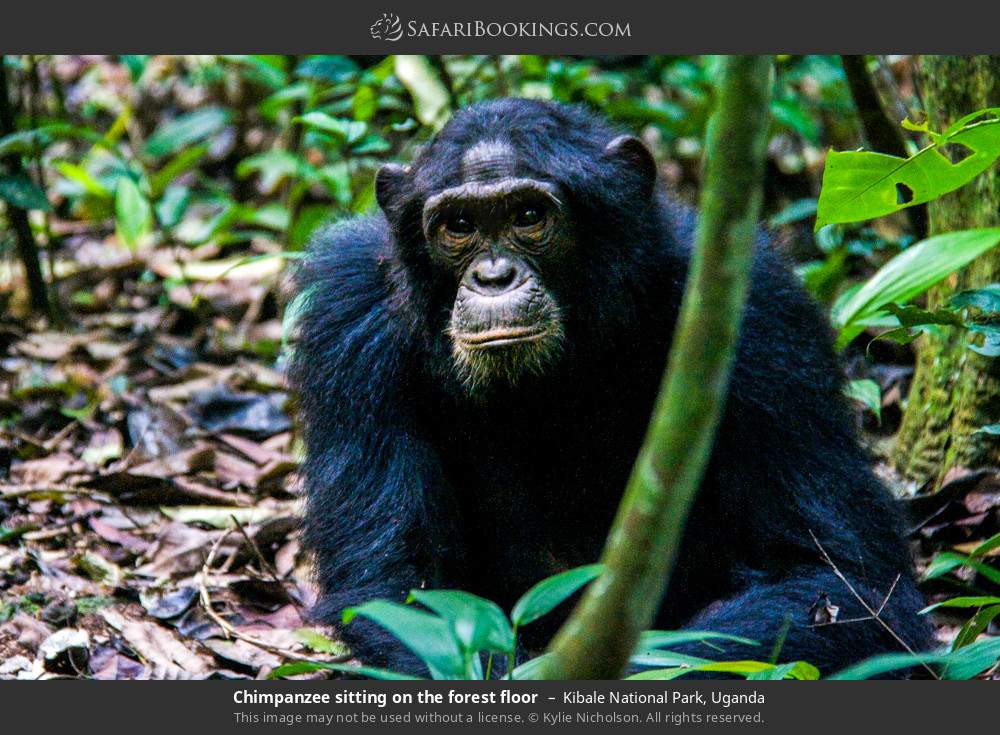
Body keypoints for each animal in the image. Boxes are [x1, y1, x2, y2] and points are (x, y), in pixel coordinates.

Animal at [292, 98, 936, 680]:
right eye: (459, 226)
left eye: (529, 216)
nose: (494, 276)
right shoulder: (346, 316)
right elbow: (399, 586)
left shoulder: (760, 312)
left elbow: (837, 575)